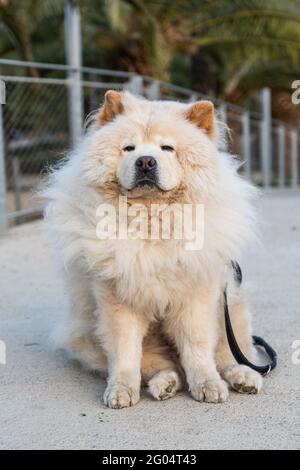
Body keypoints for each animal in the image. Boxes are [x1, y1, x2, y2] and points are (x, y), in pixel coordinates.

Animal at [43, 91, 262, 408]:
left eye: (167, 148)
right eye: (129, 148)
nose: (145, 161)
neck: (151, 220)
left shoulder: (198, 296)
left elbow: (198, 347)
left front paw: (207, 384)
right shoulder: (117, 298)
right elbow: (125, 351)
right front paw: (120, 389)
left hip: (231, 310)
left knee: (228, 354)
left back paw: (242, 377)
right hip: (87, 334)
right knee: (162, 366)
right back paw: (165, 384)